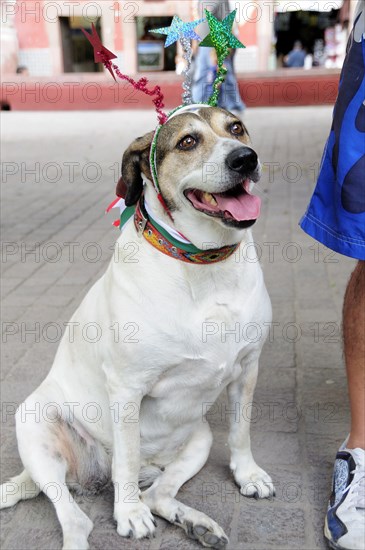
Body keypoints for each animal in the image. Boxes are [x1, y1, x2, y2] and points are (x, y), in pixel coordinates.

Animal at [0, 105, 272, 548]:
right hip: (34, 423)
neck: (203, 265)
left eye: (236, 128)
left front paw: (247, 474)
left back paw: (197, 524)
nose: (245, 158)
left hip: (198, 437)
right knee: (79, 512)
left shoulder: (248, 369)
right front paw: (128, 514)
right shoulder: (127, 388)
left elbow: (241, 432)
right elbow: (126, 457)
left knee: (158, 494)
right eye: (188, 141)